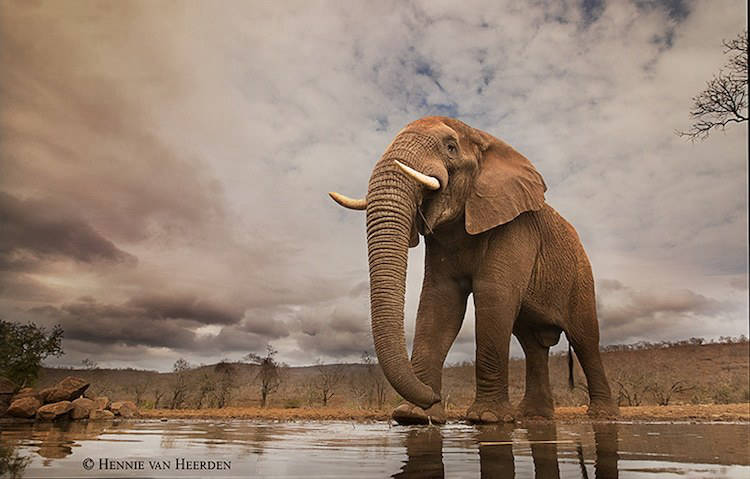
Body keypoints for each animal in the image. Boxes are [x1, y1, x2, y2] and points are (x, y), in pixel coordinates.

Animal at [328, 116, 616, 424]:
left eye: (450, 147)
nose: (436, 396)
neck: (484, 140)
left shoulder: (514, 226)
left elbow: (494, 295)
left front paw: (486, 418)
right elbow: (440, 303)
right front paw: (414, 416)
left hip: (581, 275)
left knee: (585, 338)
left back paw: (601, 415)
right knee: (532, 344)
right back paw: (533, 417)